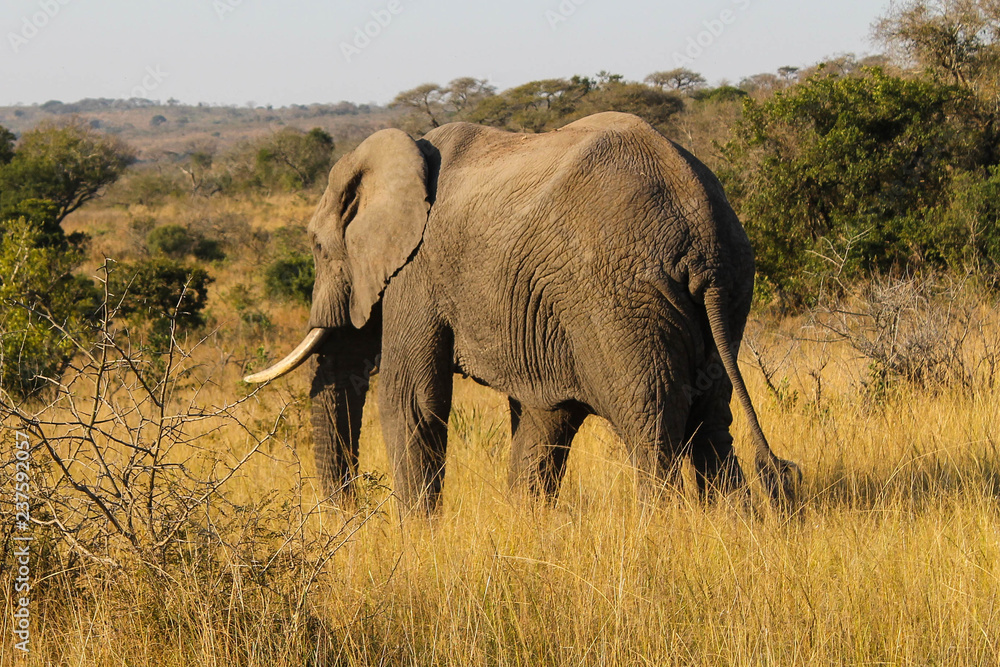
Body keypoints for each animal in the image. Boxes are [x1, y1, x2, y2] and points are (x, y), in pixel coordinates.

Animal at [246, 112, 800, 516]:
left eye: (318, 248)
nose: (348, 514)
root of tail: (702, 229)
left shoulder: (418, 271)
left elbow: (412, 400)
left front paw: (416, 537)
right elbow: (542, 415)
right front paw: (526, 523)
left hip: (618, 298)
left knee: (653, 424)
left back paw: (661, 529)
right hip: (727, 291)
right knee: (711, 420)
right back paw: (730, 524)